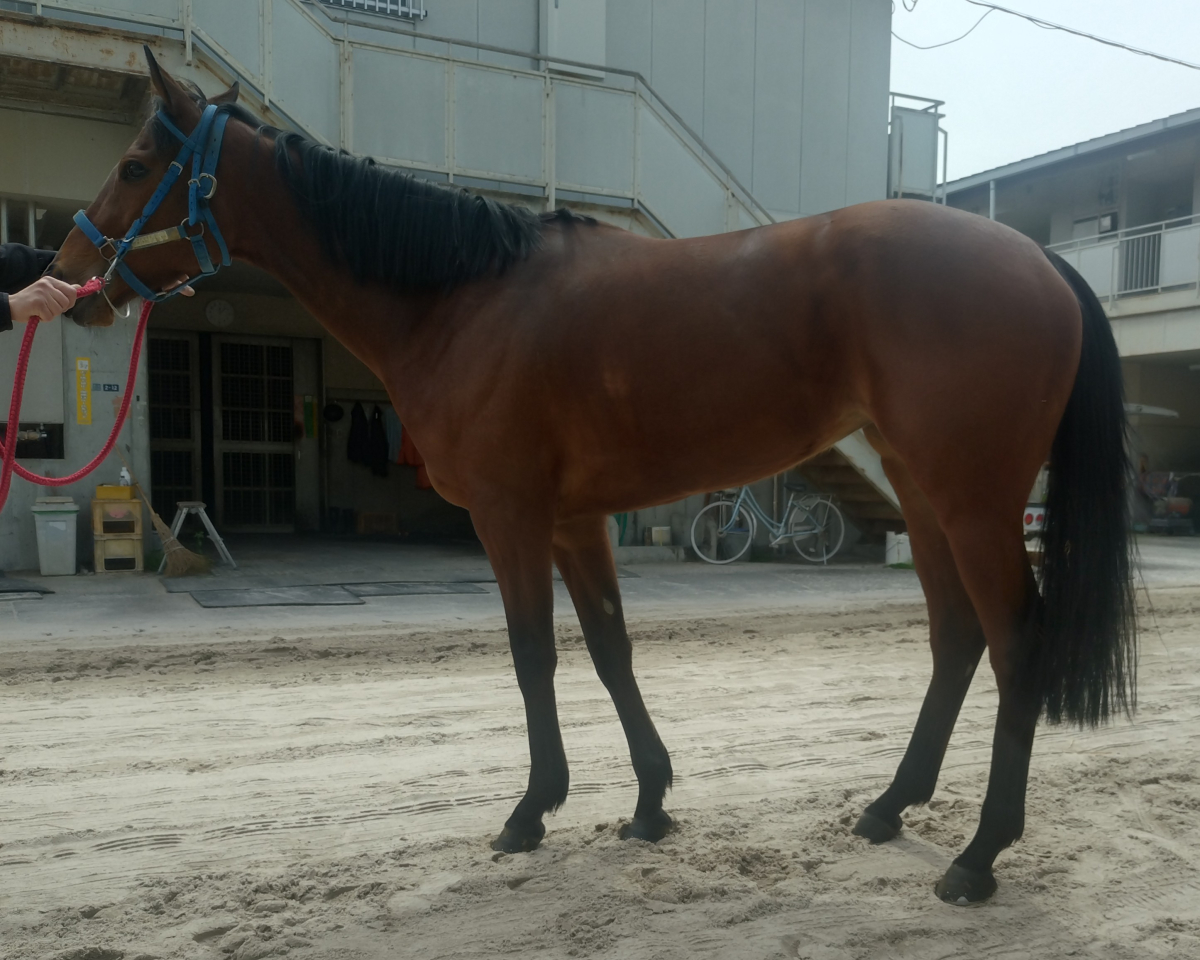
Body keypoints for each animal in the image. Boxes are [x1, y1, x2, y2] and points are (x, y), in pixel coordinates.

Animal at [50, 48, 1135, 904]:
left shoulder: (511, 520)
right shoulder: (574, 524)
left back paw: (980, 855)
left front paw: (531, 810)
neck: (462, 299)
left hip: (976, 505)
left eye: (137, 164)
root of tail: (1040, 260)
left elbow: (534, 656)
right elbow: (612, 652)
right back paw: (887, 807)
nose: (67, 278)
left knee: (1015, 647)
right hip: (925, 497)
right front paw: (650, 802)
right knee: (955, 640)